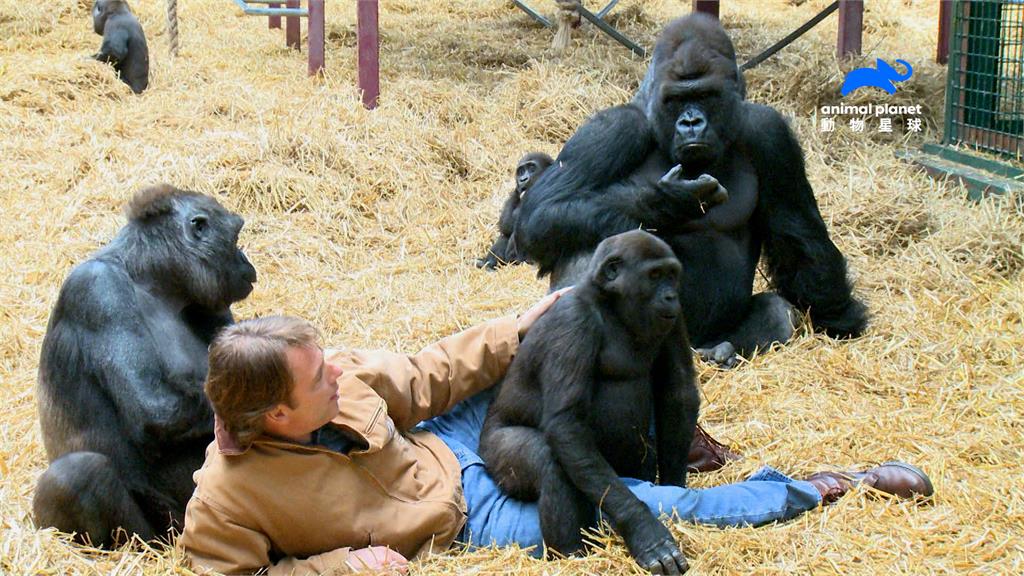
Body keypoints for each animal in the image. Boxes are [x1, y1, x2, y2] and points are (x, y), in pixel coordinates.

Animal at [33, 184, 256, 545]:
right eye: (235, 238)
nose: (245, 262)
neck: (150, 279)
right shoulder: (98, 290)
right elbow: (156, 408)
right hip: (163, 532)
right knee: (77, 474)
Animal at [479, 229, 696, 573]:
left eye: (672, 275)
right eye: (654, 275)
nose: (671, 297)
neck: (611, 306)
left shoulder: (674, 319)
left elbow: (678, 392)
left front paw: (674, 483)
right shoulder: (574, 321)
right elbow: (567, 425)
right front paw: (644, 529)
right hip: (491, 451)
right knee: (545, 458)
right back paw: (571, 555)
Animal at [516, 12, 868, 362]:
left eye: (703, 96)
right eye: (676, 99)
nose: (690, 123)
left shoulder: (770, 132)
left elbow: (797, 233)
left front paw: (839, 314)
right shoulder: (612, 128)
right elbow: (542, 215)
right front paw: (667, 202)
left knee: (776, 312)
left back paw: (720, 352)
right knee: (586, 234)